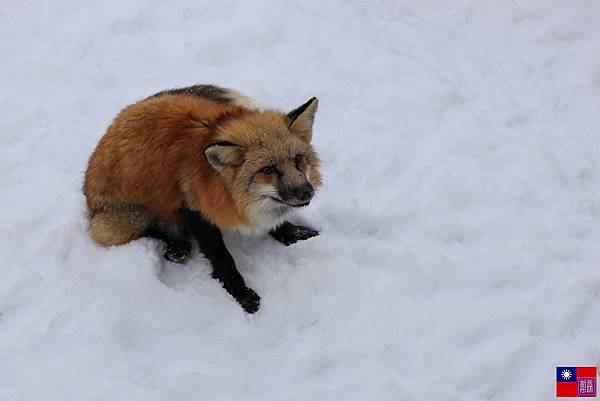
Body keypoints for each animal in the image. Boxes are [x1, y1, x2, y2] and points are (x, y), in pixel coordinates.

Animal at [84, 83, 324, 310]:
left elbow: (275, 222)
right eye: (268, 169)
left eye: (298, 159)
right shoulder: (192, 207)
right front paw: (242, 295)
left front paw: (293, 233)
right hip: (118, 224)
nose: (306, 191)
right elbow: (223, 259)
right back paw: (177, 246)